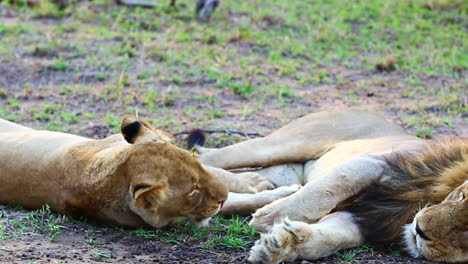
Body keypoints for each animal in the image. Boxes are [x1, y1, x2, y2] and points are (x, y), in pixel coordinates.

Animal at [0, 115, 296, 229]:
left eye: (197, 166)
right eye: (193, 191)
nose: (221, 198)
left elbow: (221, 173)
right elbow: (235, 202)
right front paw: (275, 191)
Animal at [193, 108, 464, 262]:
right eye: (461, 196)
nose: (420, 231)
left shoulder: (371, 218)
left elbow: (330, 238)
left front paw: (280, 245)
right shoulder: (378, 163)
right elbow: (333, 186)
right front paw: (273, 218)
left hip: (286, 171)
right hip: (287, 143)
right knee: (203, 157)